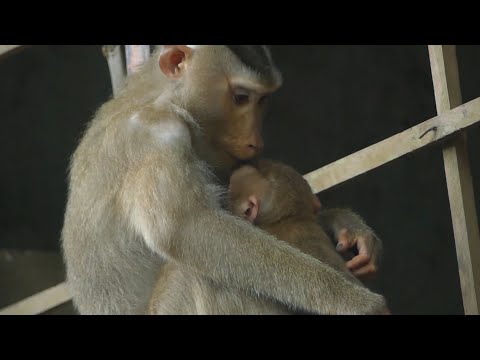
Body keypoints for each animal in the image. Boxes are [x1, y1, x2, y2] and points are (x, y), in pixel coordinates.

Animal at [62, 45, 386, 316]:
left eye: (263, 99)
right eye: (241, 97)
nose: (255, 140)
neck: (158, 97)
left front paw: (345, 224)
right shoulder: (156, 136)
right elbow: (186, 229)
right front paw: (353, 302)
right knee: (200, 274)